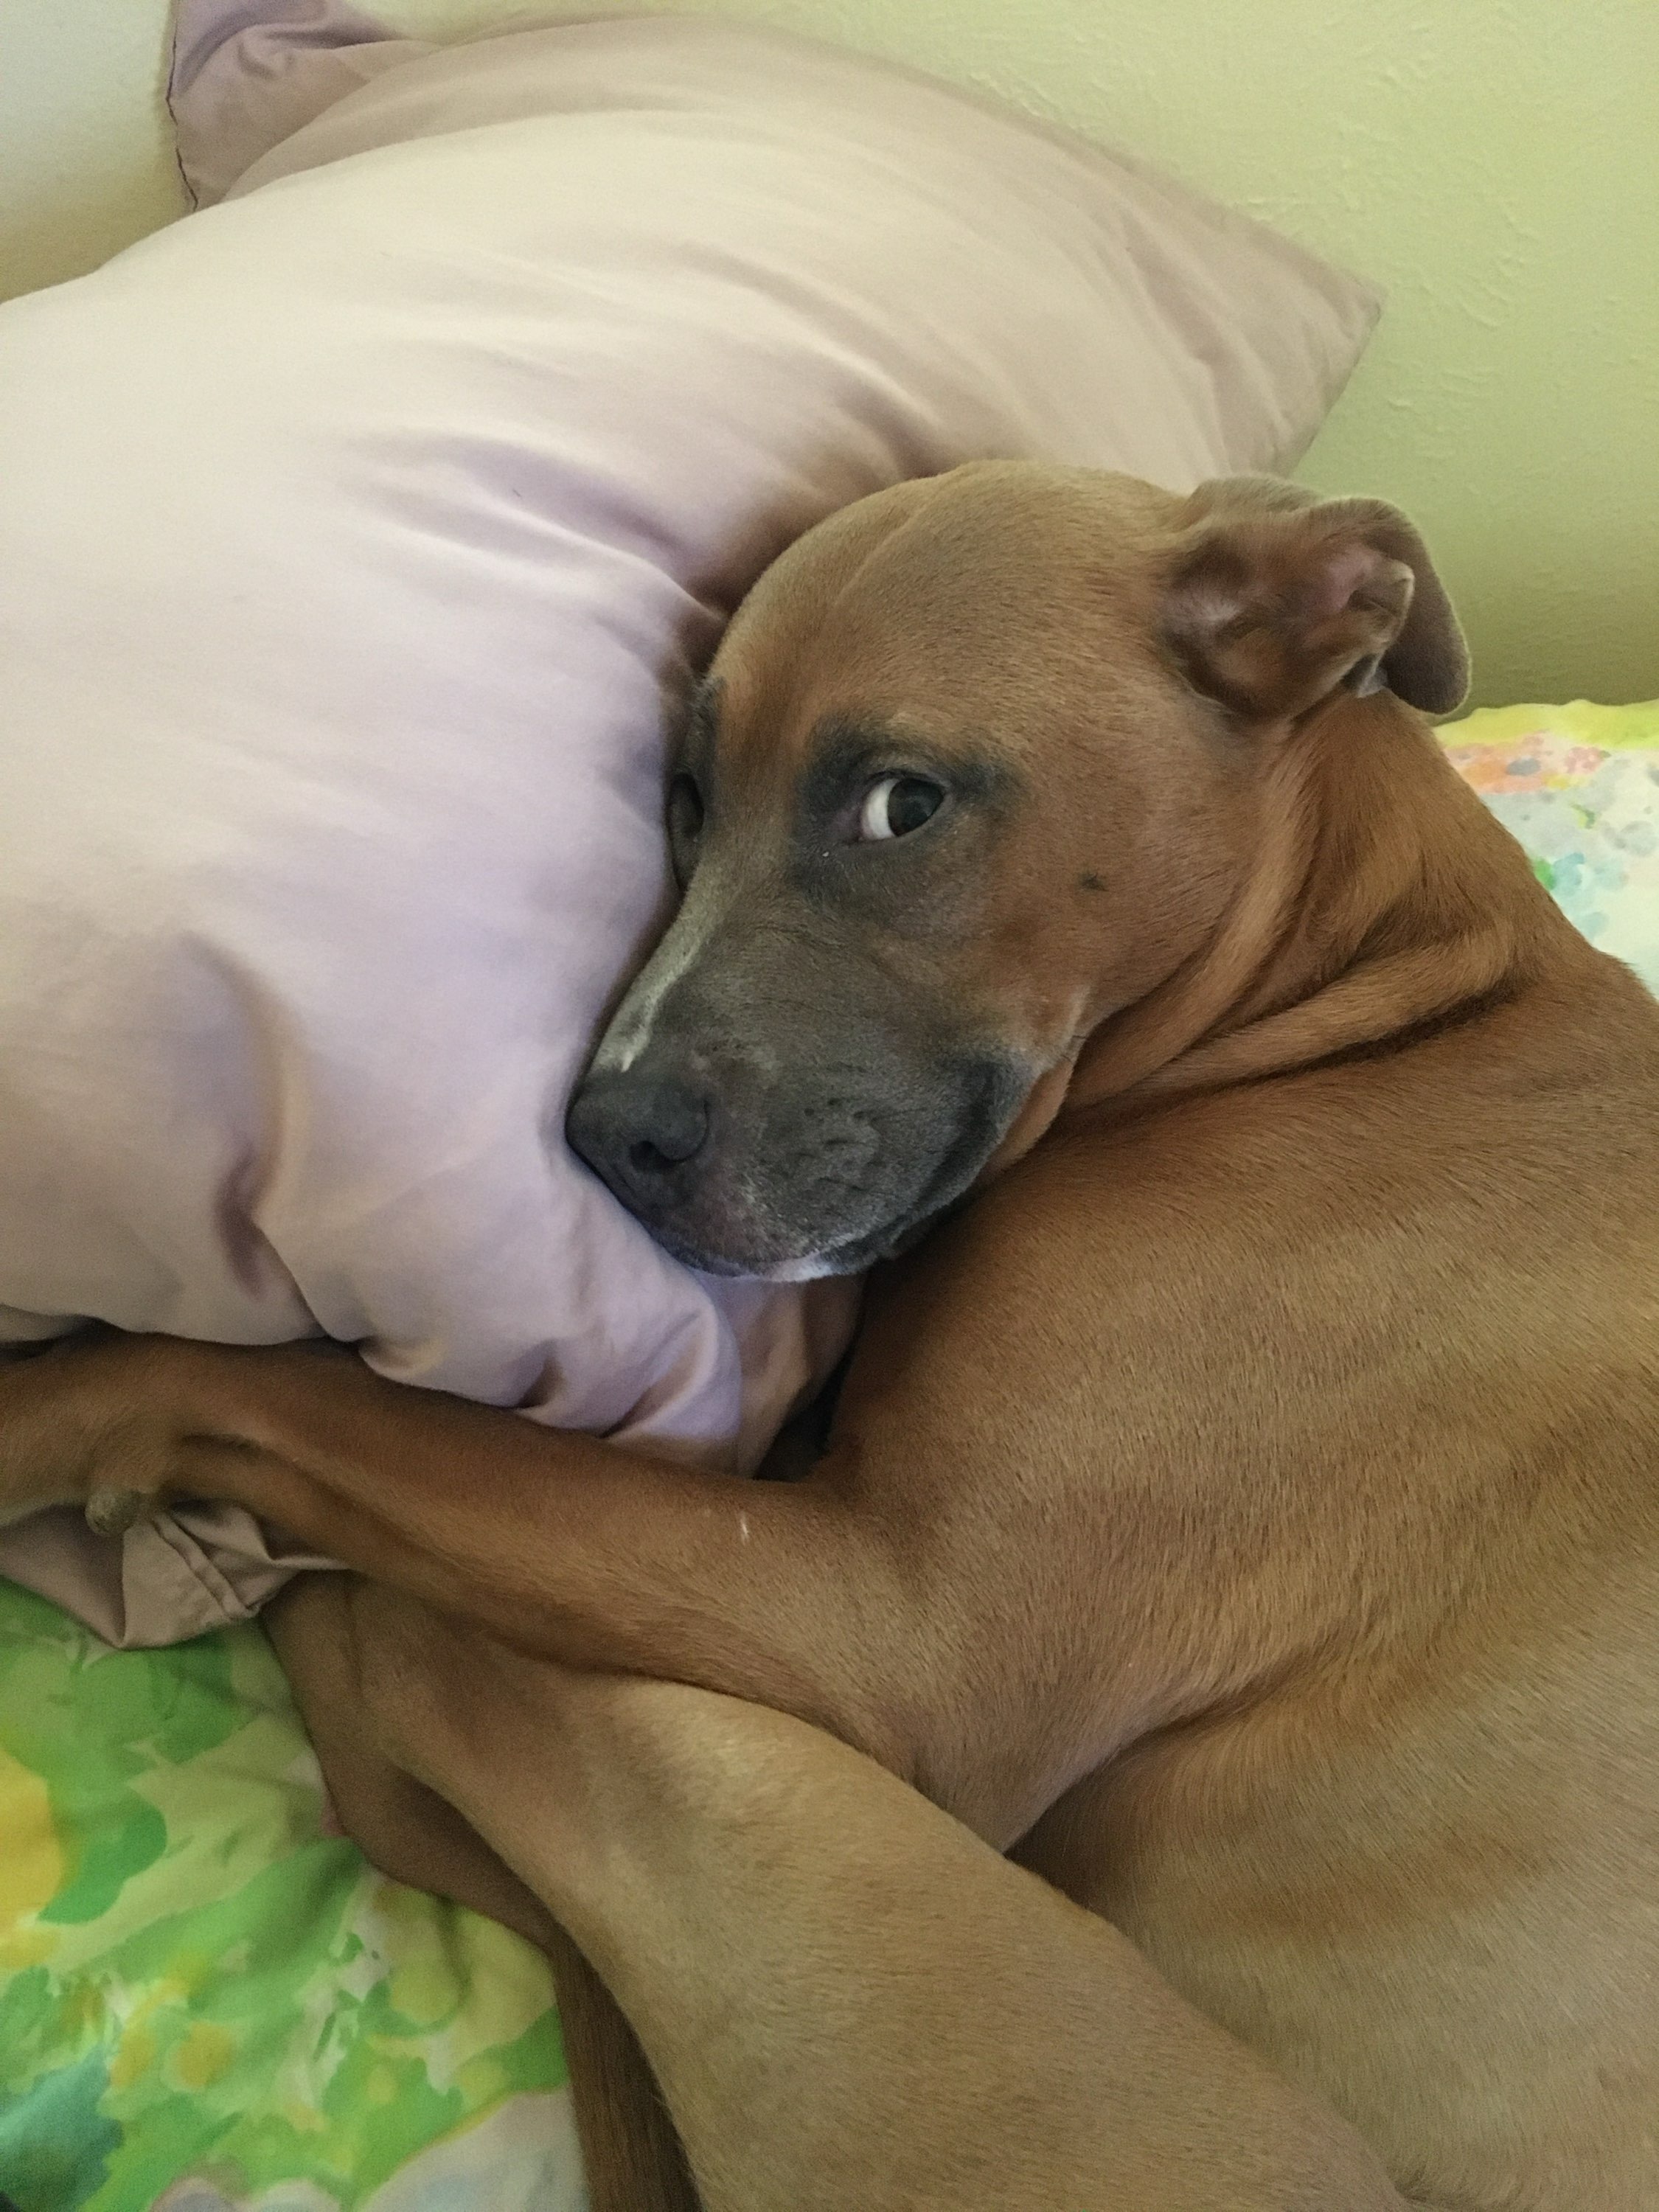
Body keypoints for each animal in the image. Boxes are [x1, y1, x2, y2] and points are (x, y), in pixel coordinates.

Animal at [3, 464, 1657, 2210]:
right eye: (685, 795)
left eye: (901, 806)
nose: (604, 1135)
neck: (1377, 1016)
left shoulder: (883, 1628)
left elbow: (313, 1402)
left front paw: (49, 1409)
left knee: (418, 1660)